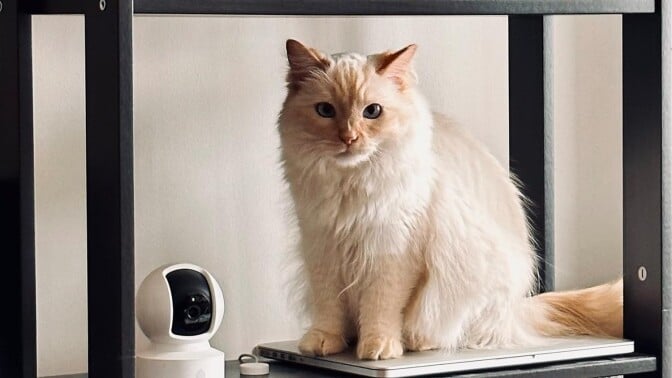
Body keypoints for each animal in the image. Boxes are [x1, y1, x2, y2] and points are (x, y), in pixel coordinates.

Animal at [276, 38, 624, 360]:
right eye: (325, 111)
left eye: (372, 112)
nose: (349, 138)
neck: (350, 183)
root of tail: (518, 310)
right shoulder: (321, 247)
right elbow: (328, 307)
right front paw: (323, 342)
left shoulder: (392, 251)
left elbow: (381, 307)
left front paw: (378, 347)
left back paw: (417, 342)